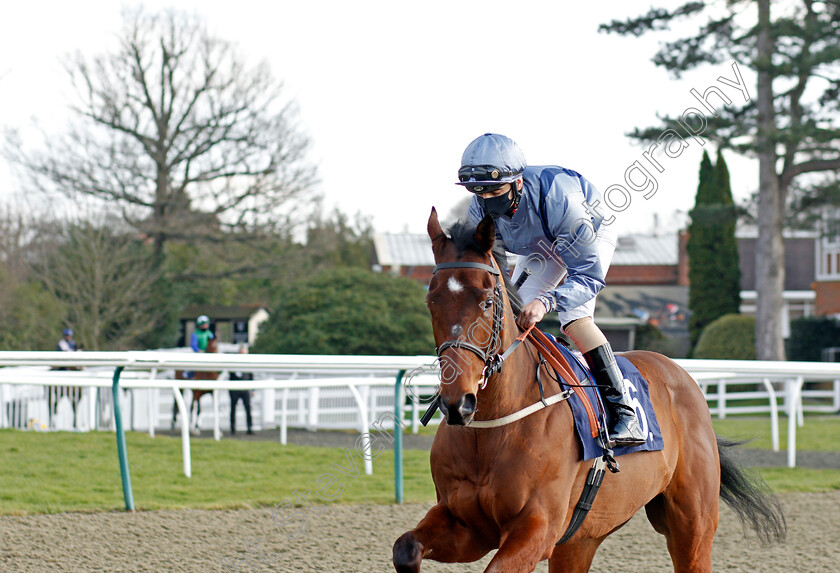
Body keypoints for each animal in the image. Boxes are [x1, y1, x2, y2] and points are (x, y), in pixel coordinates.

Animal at [390, 209, 784, 572]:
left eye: (487, 301)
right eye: (432, 301)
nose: (458, 403)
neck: (492, 427)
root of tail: (677, 372)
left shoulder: (538, 528)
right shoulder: (466, 524)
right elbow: (405, 547)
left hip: (692, 525)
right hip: (581, 538)